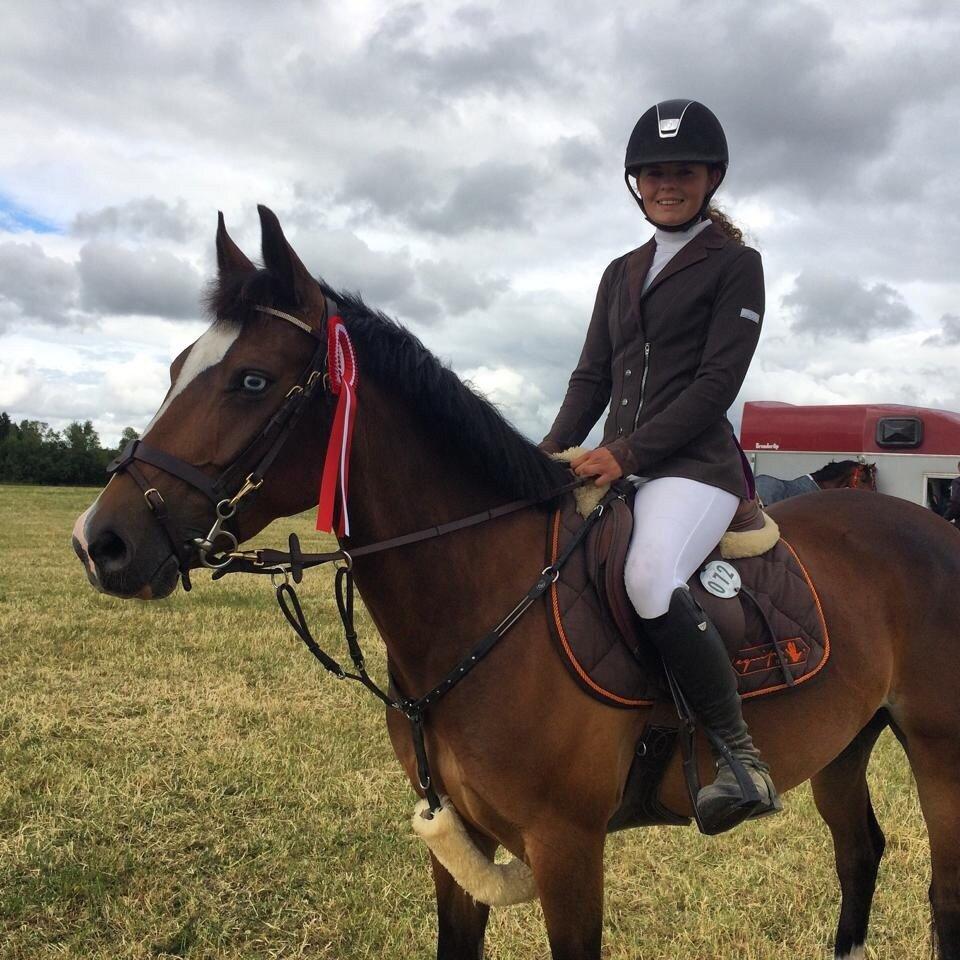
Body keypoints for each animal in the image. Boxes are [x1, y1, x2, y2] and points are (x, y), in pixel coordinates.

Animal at [72, 207, 960, 960]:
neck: (483, 601)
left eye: (252, 380)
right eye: (178, 366)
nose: (98, 544)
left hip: (938, 753)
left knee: (941, 893)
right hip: (845, 740)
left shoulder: (567, 848)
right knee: (860, 854)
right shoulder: (459, 837)